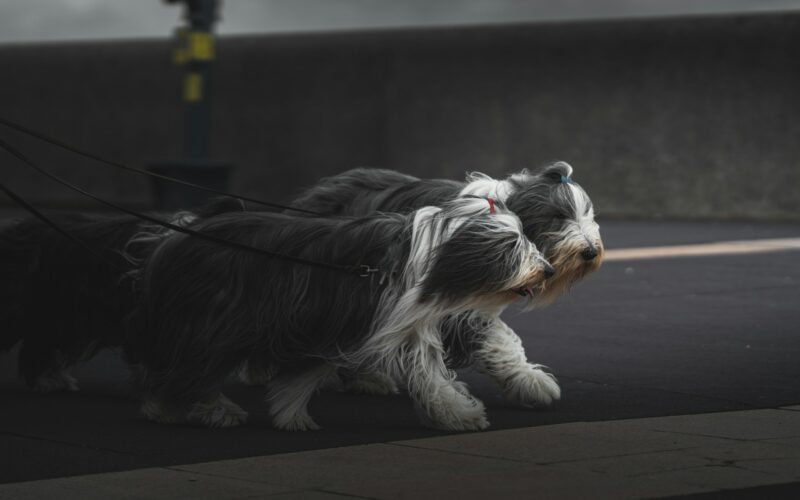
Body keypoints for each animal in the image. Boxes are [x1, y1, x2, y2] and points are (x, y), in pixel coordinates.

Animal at [130, 195, 556, 430]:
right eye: (514, 245)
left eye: (525, 238)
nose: (548, 270)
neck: (429, 257)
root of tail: (182, 231)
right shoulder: (351, 320)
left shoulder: (378, 326)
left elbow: (427, 374)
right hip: (215, 320)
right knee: (192, 365)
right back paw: (186, 407)